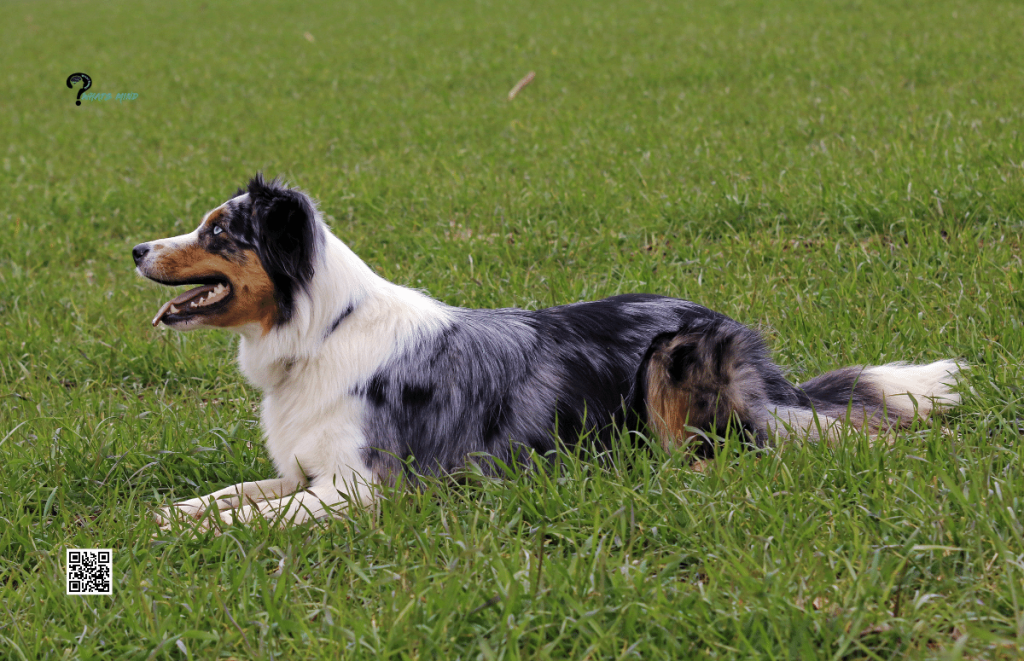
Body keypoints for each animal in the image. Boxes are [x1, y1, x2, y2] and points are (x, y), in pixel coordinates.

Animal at [134, 173, 958, 532]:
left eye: (218, 231)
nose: (136, 248)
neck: (320, 332)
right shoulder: (305, 470)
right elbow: (227, 495)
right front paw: (166, 514)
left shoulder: (362, 486)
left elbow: (255, 517)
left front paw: (188, 532)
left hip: (674, 359)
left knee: (728, 455)